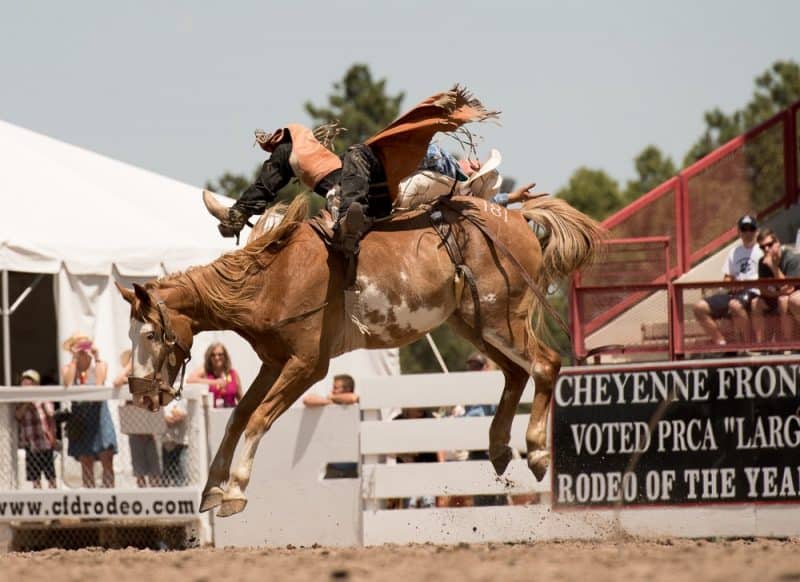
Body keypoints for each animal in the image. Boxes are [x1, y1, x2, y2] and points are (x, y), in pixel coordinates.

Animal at [115, 194, 604, 516]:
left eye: (151, 334)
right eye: (131, 333)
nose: (141, 394)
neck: (270, 278)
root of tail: (517, 217)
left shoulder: (308, 366)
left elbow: (258, 419)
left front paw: (234, 492)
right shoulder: (274, 363)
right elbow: (237, 417)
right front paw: (212, 489)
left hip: (503, 318)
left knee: (544, 365)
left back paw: (536, 451)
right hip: (476, 323)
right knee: (515, 375)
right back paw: (500, 447)